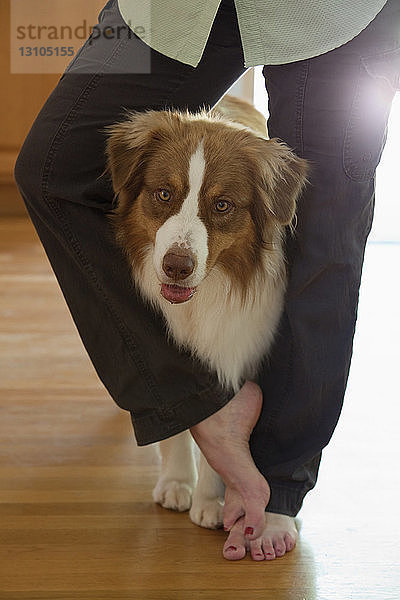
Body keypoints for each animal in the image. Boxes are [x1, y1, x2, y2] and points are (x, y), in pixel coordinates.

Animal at [105, 95, 306, 528]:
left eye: (222, 204)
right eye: (164, 194)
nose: (176, 267)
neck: (199, 300)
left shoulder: (237, 344)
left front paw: (212, 498)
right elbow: (174, 410)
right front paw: (178, 480)